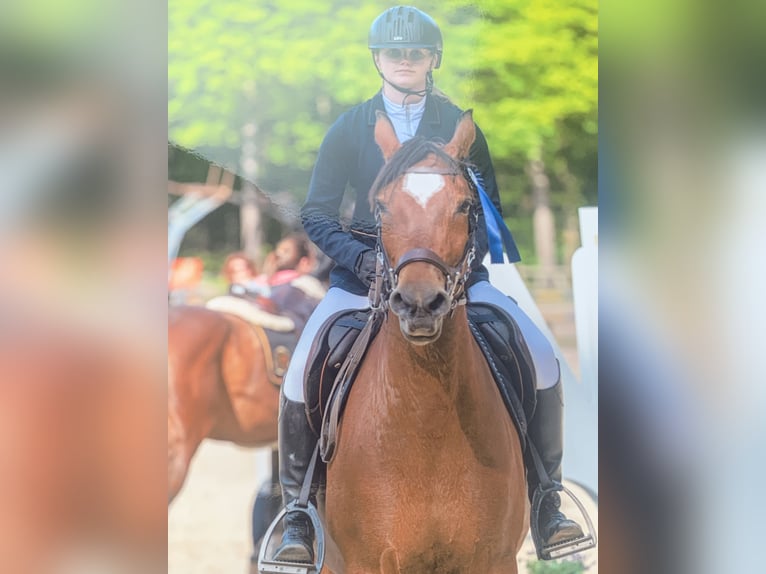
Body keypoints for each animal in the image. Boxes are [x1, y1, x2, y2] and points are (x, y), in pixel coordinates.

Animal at [320, 110, 532, 572]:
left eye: (466, 205)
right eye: (381, 206)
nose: (420, 303)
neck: (427, 418)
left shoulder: (494, 559)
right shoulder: (368, 561)